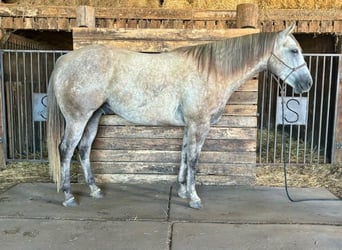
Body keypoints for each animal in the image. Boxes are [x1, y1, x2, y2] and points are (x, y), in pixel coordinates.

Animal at [46, 23, 312, 208]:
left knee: (84, 150)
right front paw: (194, 198)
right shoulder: (199, 124)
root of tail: (64, 60)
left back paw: (94, 190)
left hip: (93, 117)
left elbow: (184, 155)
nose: (307, 84)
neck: (211, 72)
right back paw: (69, 196)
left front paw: (183, 190)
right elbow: (194, 159)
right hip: (77, 119)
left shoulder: (189, 126)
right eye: (293, 50)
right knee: (66, 150)